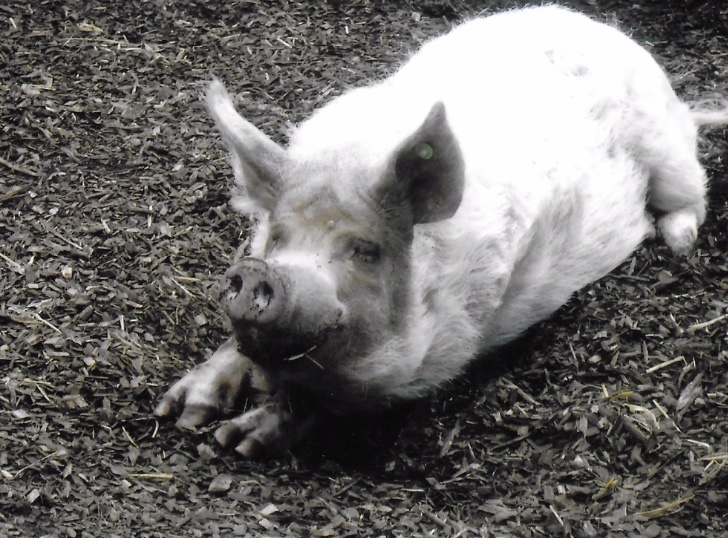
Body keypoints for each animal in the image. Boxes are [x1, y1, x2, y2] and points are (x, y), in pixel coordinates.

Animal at [155, 5, 728, 458]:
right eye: (277, 237)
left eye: (365, 251)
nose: (259, 273)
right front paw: (180, 412)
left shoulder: (446, 350)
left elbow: (331, 405)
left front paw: (234, 441)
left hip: (667, 147)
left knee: (692, 194)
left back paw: (677, 243)